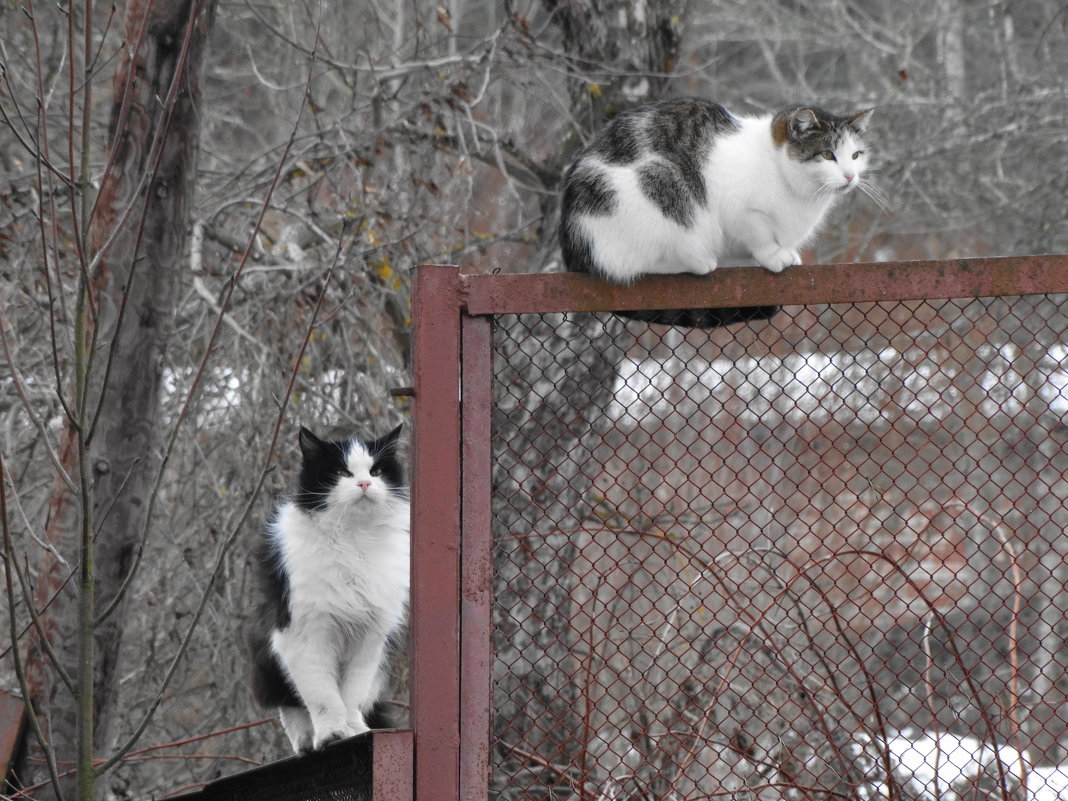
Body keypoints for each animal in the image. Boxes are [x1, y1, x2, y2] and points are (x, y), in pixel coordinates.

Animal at [248, 427, 407, 751]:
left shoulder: (369, 638)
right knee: (290, 704)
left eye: (376, 471)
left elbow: (351, 694)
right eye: (341, 472)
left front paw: (354, 730)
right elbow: (322, 696)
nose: (364, 483)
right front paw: (332, 734)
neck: (353, 538)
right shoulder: (306, 635)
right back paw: (305, 742)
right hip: (269, 657)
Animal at [559, 98, 875, 328]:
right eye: (827, 155)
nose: (850, 176)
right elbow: (760, 236)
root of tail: (574, 249)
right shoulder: (741, 211)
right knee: (634, 265)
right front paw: (774, 256)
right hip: (658, 186)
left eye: (855, 156)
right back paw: (698, 261)